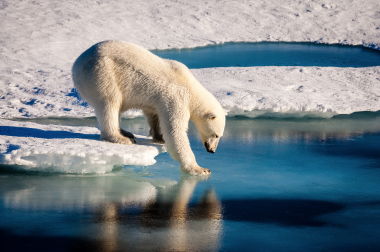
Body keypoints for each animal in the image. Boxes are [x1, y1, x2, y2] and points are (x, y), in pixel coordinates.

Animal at [72, 40, 224, 175]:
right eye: (216, 135)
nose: (212, 150)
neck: (190, 88)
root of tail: (76, 65)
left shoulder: (159, 100)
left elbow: (153, 114)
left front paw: (159, 137)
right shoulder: (176, 99)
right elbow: (175, 132)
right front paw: (200, 169)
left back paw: (126, 132)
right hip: (102, 74)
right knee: (110, 103)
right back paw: (121, 138)